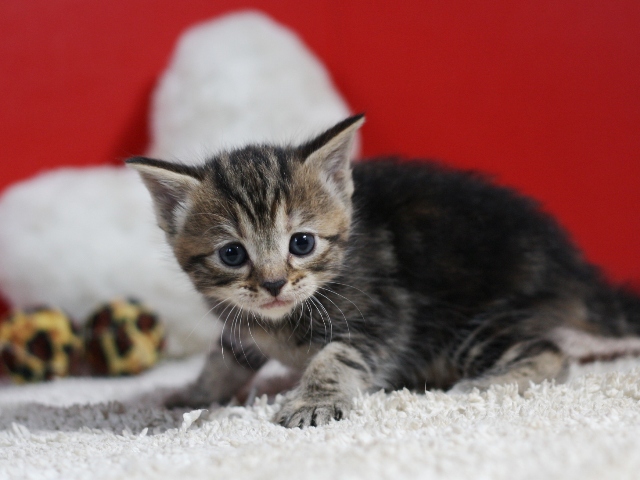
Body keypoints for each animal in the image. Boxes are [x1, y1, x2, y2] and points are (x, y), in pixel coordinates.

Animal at [127, 115, 640, 428]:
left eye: (301, 243)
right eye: (232, 254)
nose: (273, 284)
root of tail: (568, 263)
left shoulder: (386, 314)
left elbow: (337, 356)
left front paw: (314, 400)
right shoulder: (242, 321)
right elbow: (224, 356)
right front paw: (195, 391)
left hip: (464, 322)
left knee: (549, 352)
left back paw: (479, 385)